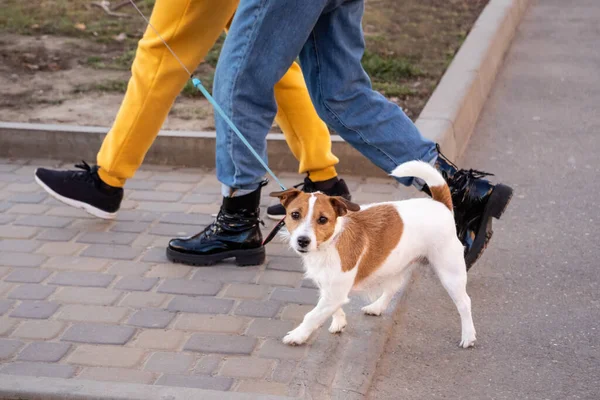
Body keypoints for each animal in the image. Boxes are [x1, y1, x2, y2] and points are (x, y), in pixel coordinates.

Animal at [270, 159, 476, 346]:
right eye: (295, 215)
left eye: (322, 219)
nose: (302, 241)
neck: (331, 242)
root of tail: (441, 205)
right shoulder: (328, 288)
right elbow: (331, 307)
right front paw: (339, 322)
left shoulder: (334, 292)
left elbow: (312, 315)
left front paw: (298, 335)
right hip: (396, 265)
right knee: (393, 288)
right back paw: (376, 307)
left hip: (450, 273)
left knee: (465, 302)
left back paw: (468, 336)